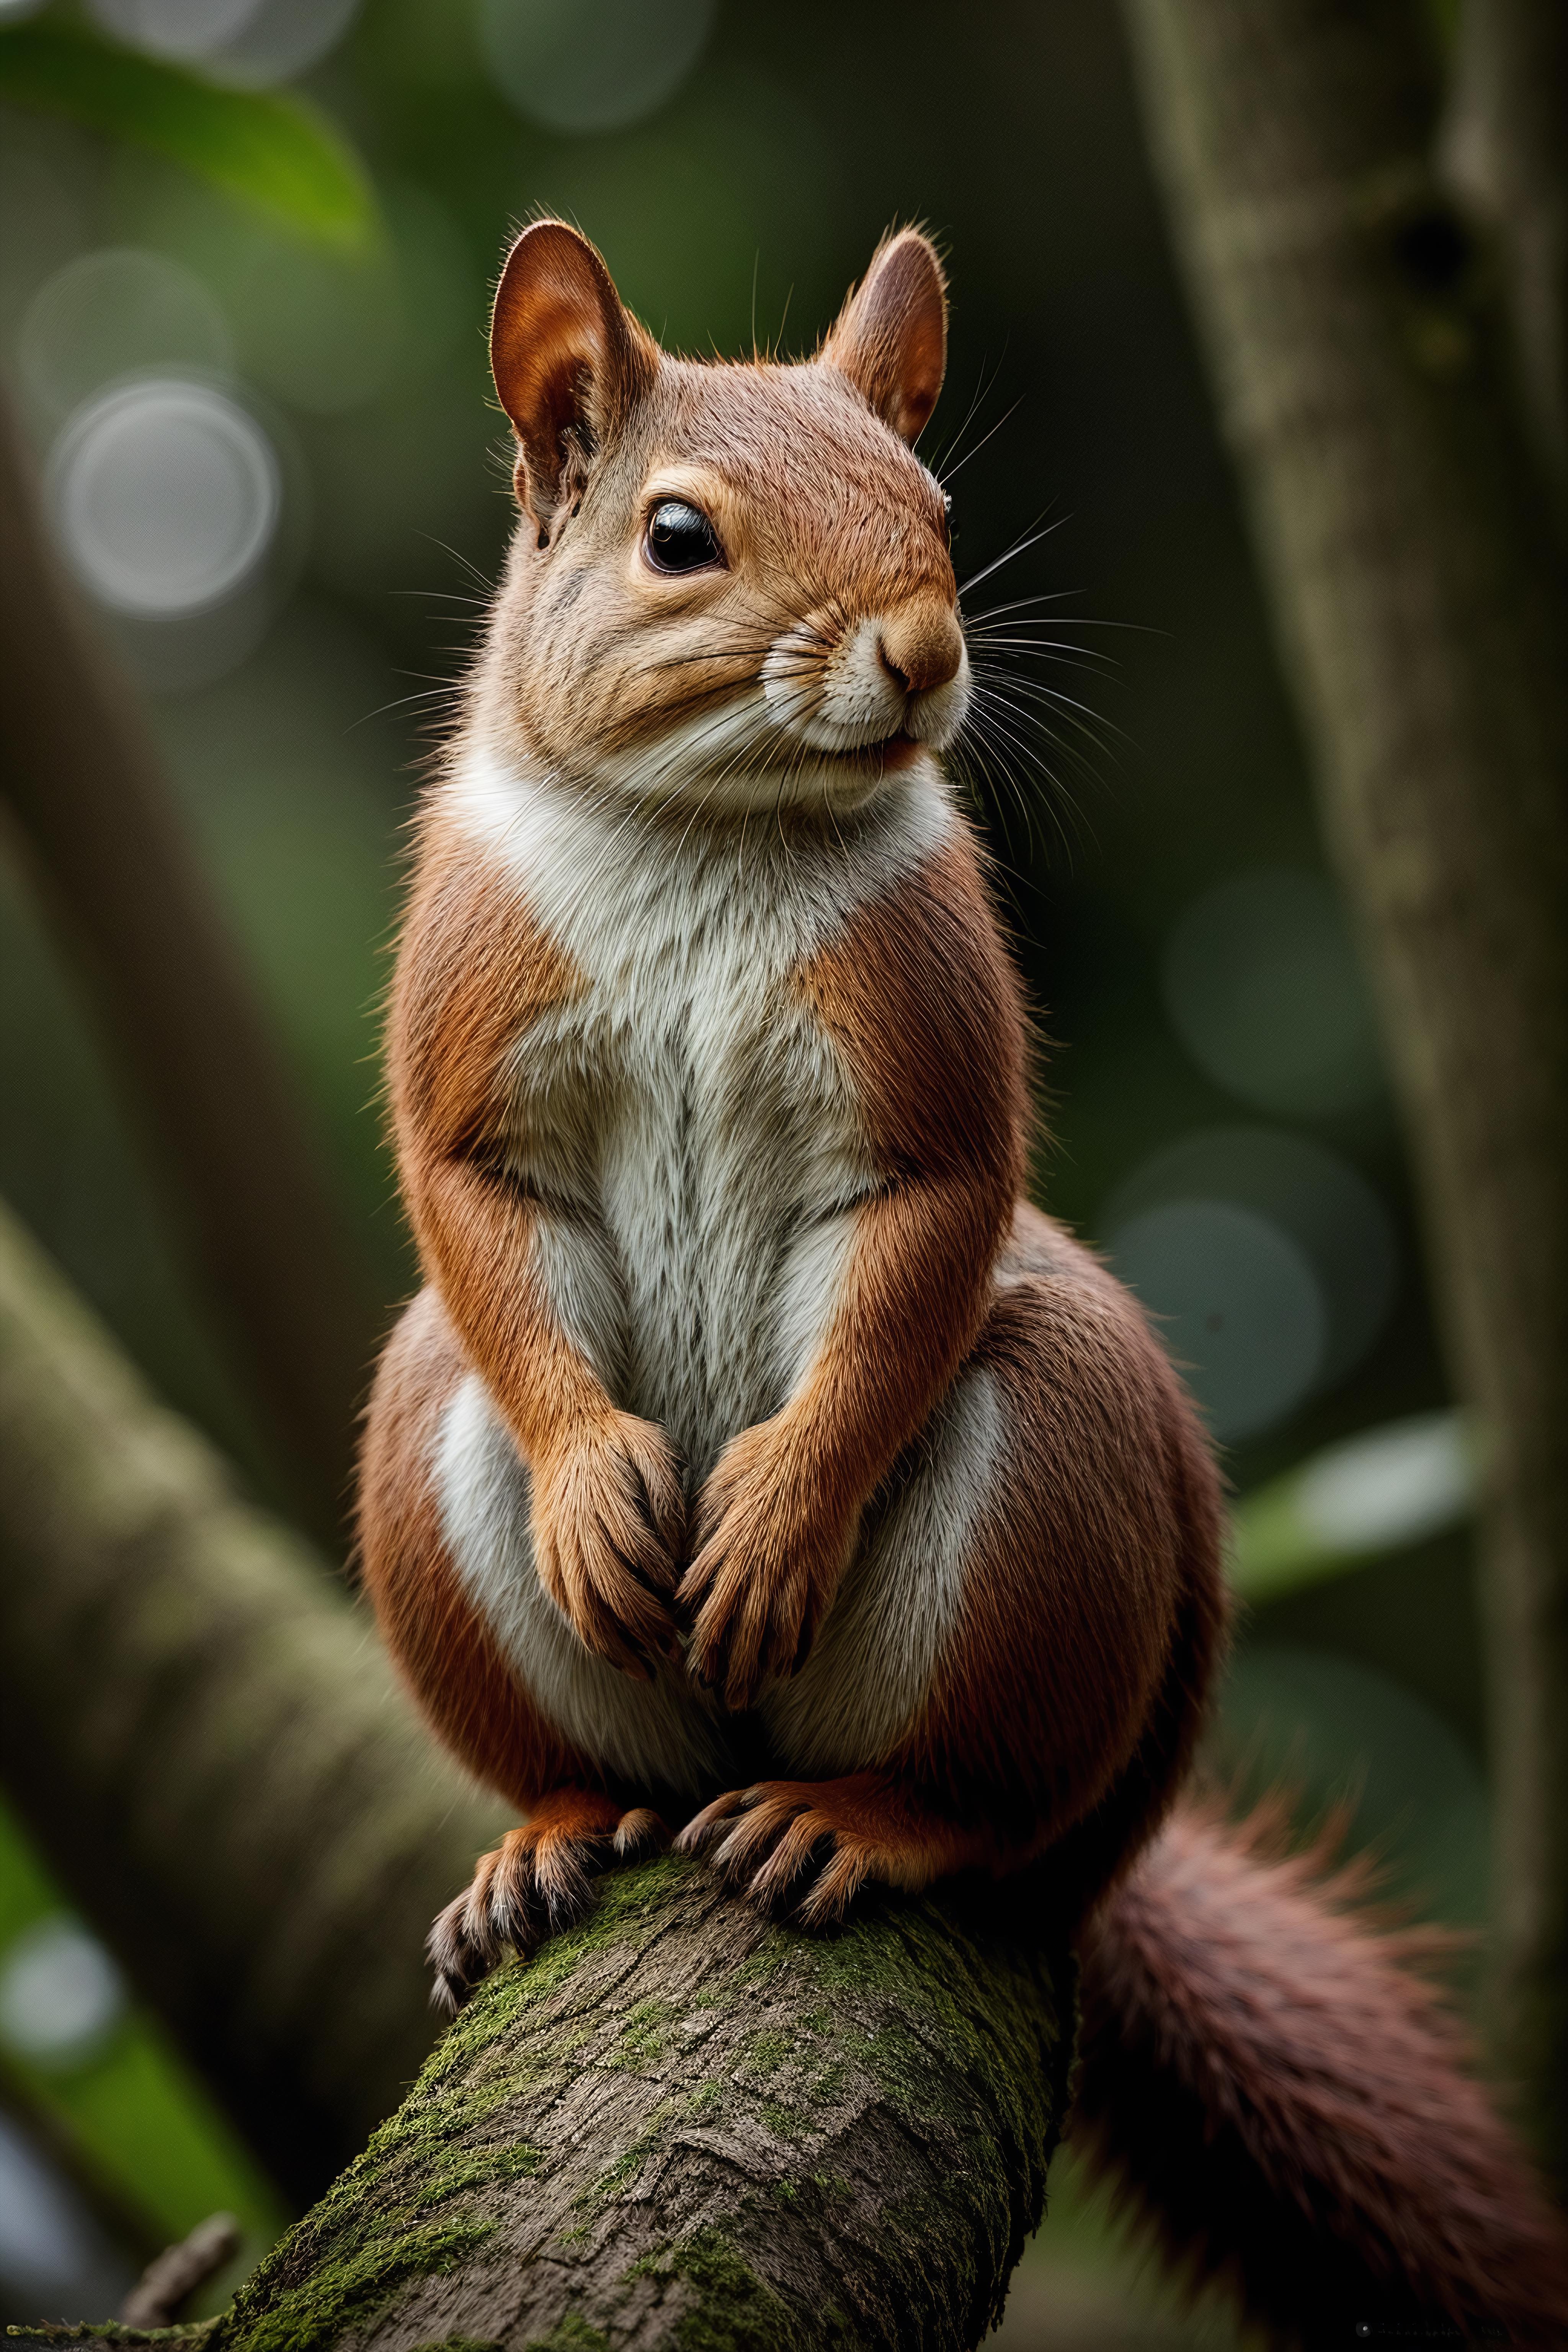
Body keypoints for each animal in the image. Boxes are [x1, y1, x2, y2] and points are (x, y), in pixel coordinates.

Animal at [362, 224, 1568, 2352]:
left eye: (933, 510)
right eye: (678, 535)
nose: (925, 653)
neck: (713, 827)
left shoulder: (924, 1056)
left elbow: (923, 1234)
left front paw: (775, 1508)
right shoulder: (473, 1022)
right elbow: (474, 1209)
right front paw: (602, 1481)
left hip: (1053, 1495)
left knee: (988, 1810)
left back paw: (861, 1819)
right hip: (441, 1457)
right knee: (574, 1718)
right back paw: (545, 1839)